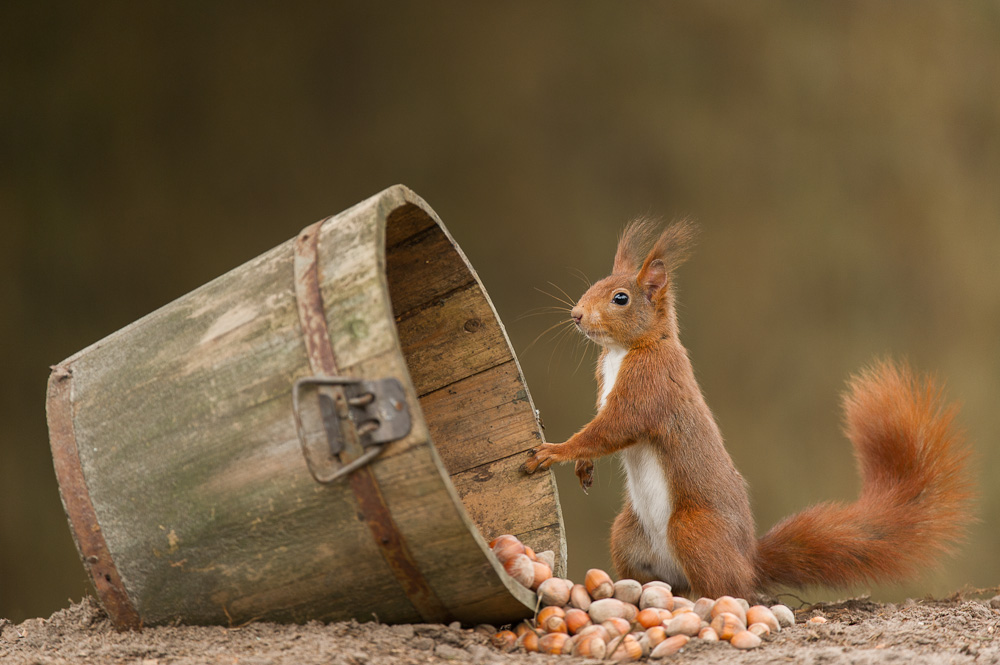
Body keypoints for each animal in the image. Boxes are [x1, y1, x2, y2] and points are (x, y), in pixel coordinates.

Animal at [520, 220, 972, 600]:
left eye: (620, 298)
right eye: (596, 284)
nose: (576, 315)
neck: (623, 351)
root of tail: (749, 562)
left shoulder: (649, 388)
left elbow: (611, 429)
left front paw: (555, 451)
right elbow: (598, 430)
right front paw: (582, 467)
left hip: (693, 529)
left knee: (728, 589)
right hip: (627, 534)